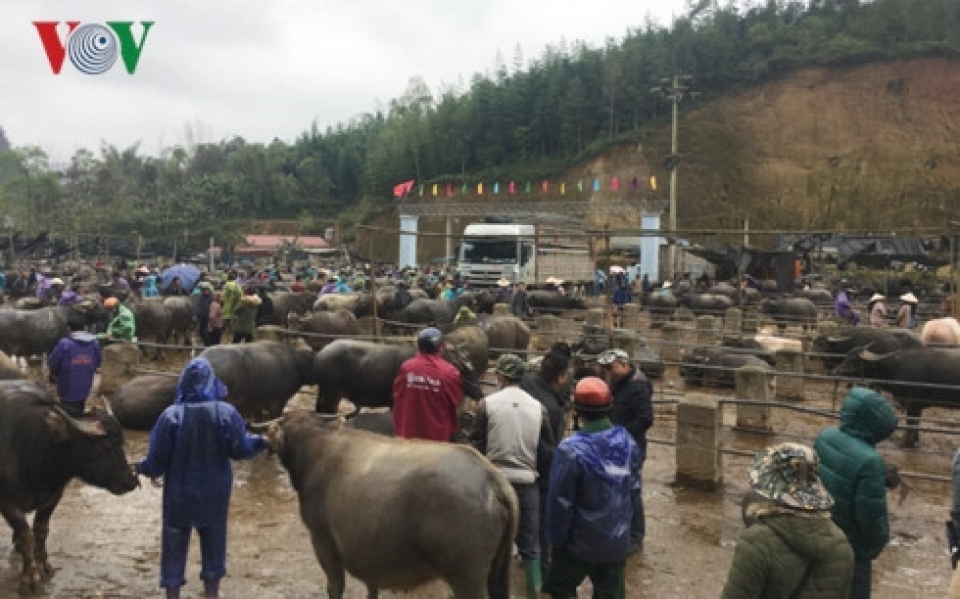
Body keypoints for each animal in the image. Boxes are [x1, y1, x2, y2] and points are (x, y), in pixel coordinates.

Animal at [0, 382, 139, 592]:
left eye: (122, 443)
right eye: (106, 447)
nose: (131, 481)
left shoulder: (53, 496)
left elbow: (41, 530)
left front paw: (43, 565)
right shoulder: (7, 503)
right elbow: (26, 536)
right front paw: (30, 578)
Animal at [832, 346, 960, 446]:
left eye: (854, 360)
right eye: (847, 356)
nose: (835, 371)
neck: (896, 367)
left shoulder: (912, 403)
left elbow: (911, 424)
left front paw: (906, 443)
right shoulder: (917, 406)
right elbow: (916, 424)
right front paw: (915, 442)